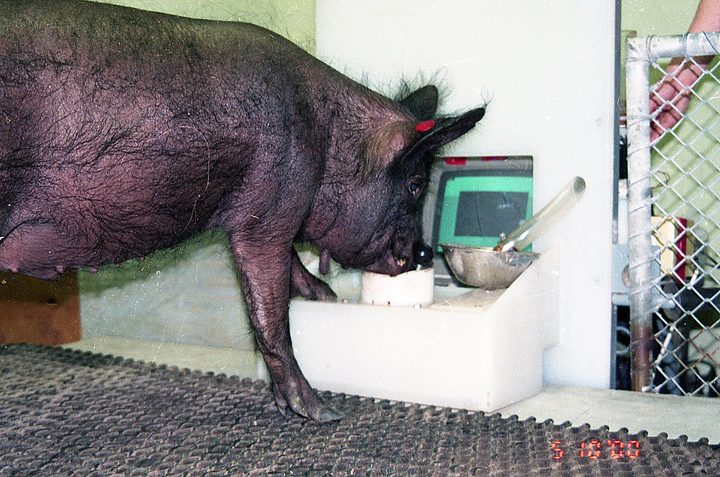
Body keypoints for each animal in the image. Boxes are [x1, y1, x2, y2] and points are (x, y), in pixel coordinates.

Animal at [0, 0, 484, 421]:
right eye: (415, 183)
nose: (424, 252)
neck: (328, 141)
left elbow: (290, 267)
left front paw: (325, 296)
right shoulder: (269, 206)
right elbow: (271, 310)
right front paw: (322, 413)